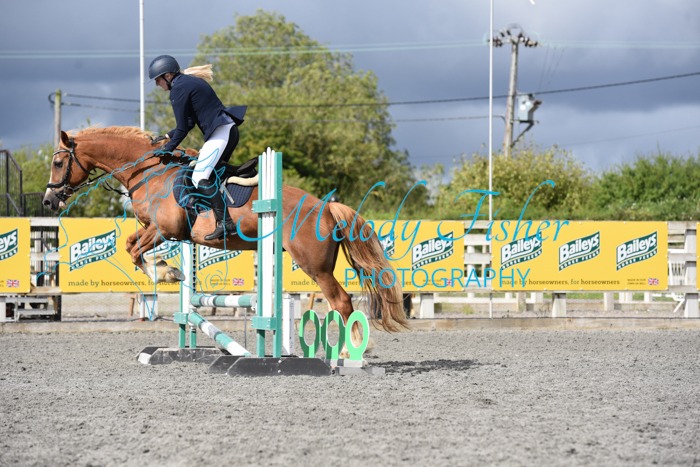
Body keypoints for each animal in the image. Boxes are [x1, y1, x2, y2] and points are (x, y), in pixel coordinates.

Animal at [42, 126, 407, 343]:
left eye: (59, 163)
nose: (48, 200)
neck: (148, 172)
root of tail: (327, 207)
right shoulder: (153, 230)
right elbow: (130, 245)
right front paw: (172, 273)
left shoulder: (163, 230)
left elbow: (135, 252)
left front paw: (166, 273)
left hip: (314, 267)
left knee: (342, 302)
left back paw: (350, 353)